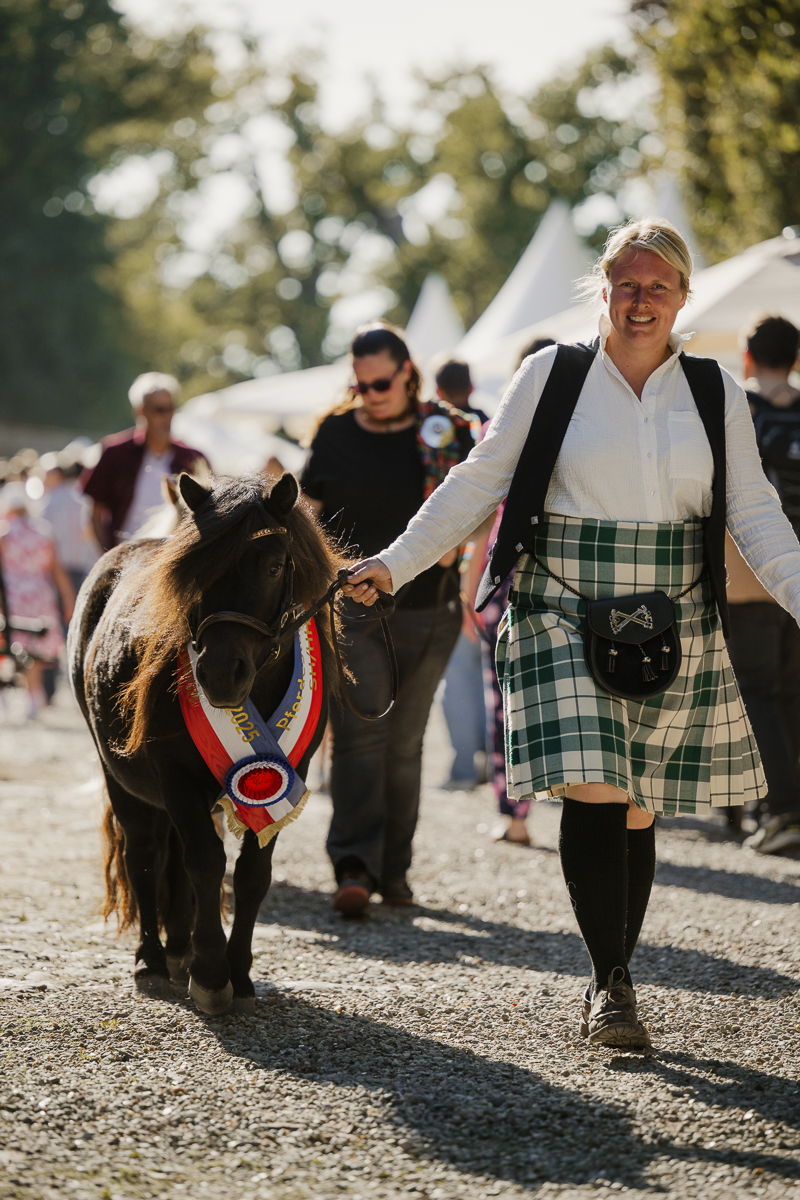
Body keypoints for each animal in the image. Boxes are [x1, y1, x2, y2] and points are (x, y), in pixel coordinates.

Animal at [68, 471, 344, 1015]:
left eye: (274, 565)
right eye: (191, 573)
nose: (218, 673)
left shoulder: (287, 775)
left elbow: (251, 873)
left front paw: (237, 972)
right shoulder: (174, 775)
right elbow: (205, 861)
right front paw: (212, 975)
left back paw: (179, 948)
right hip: (121, 779)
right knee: (144, 853)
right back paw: (153, 958)